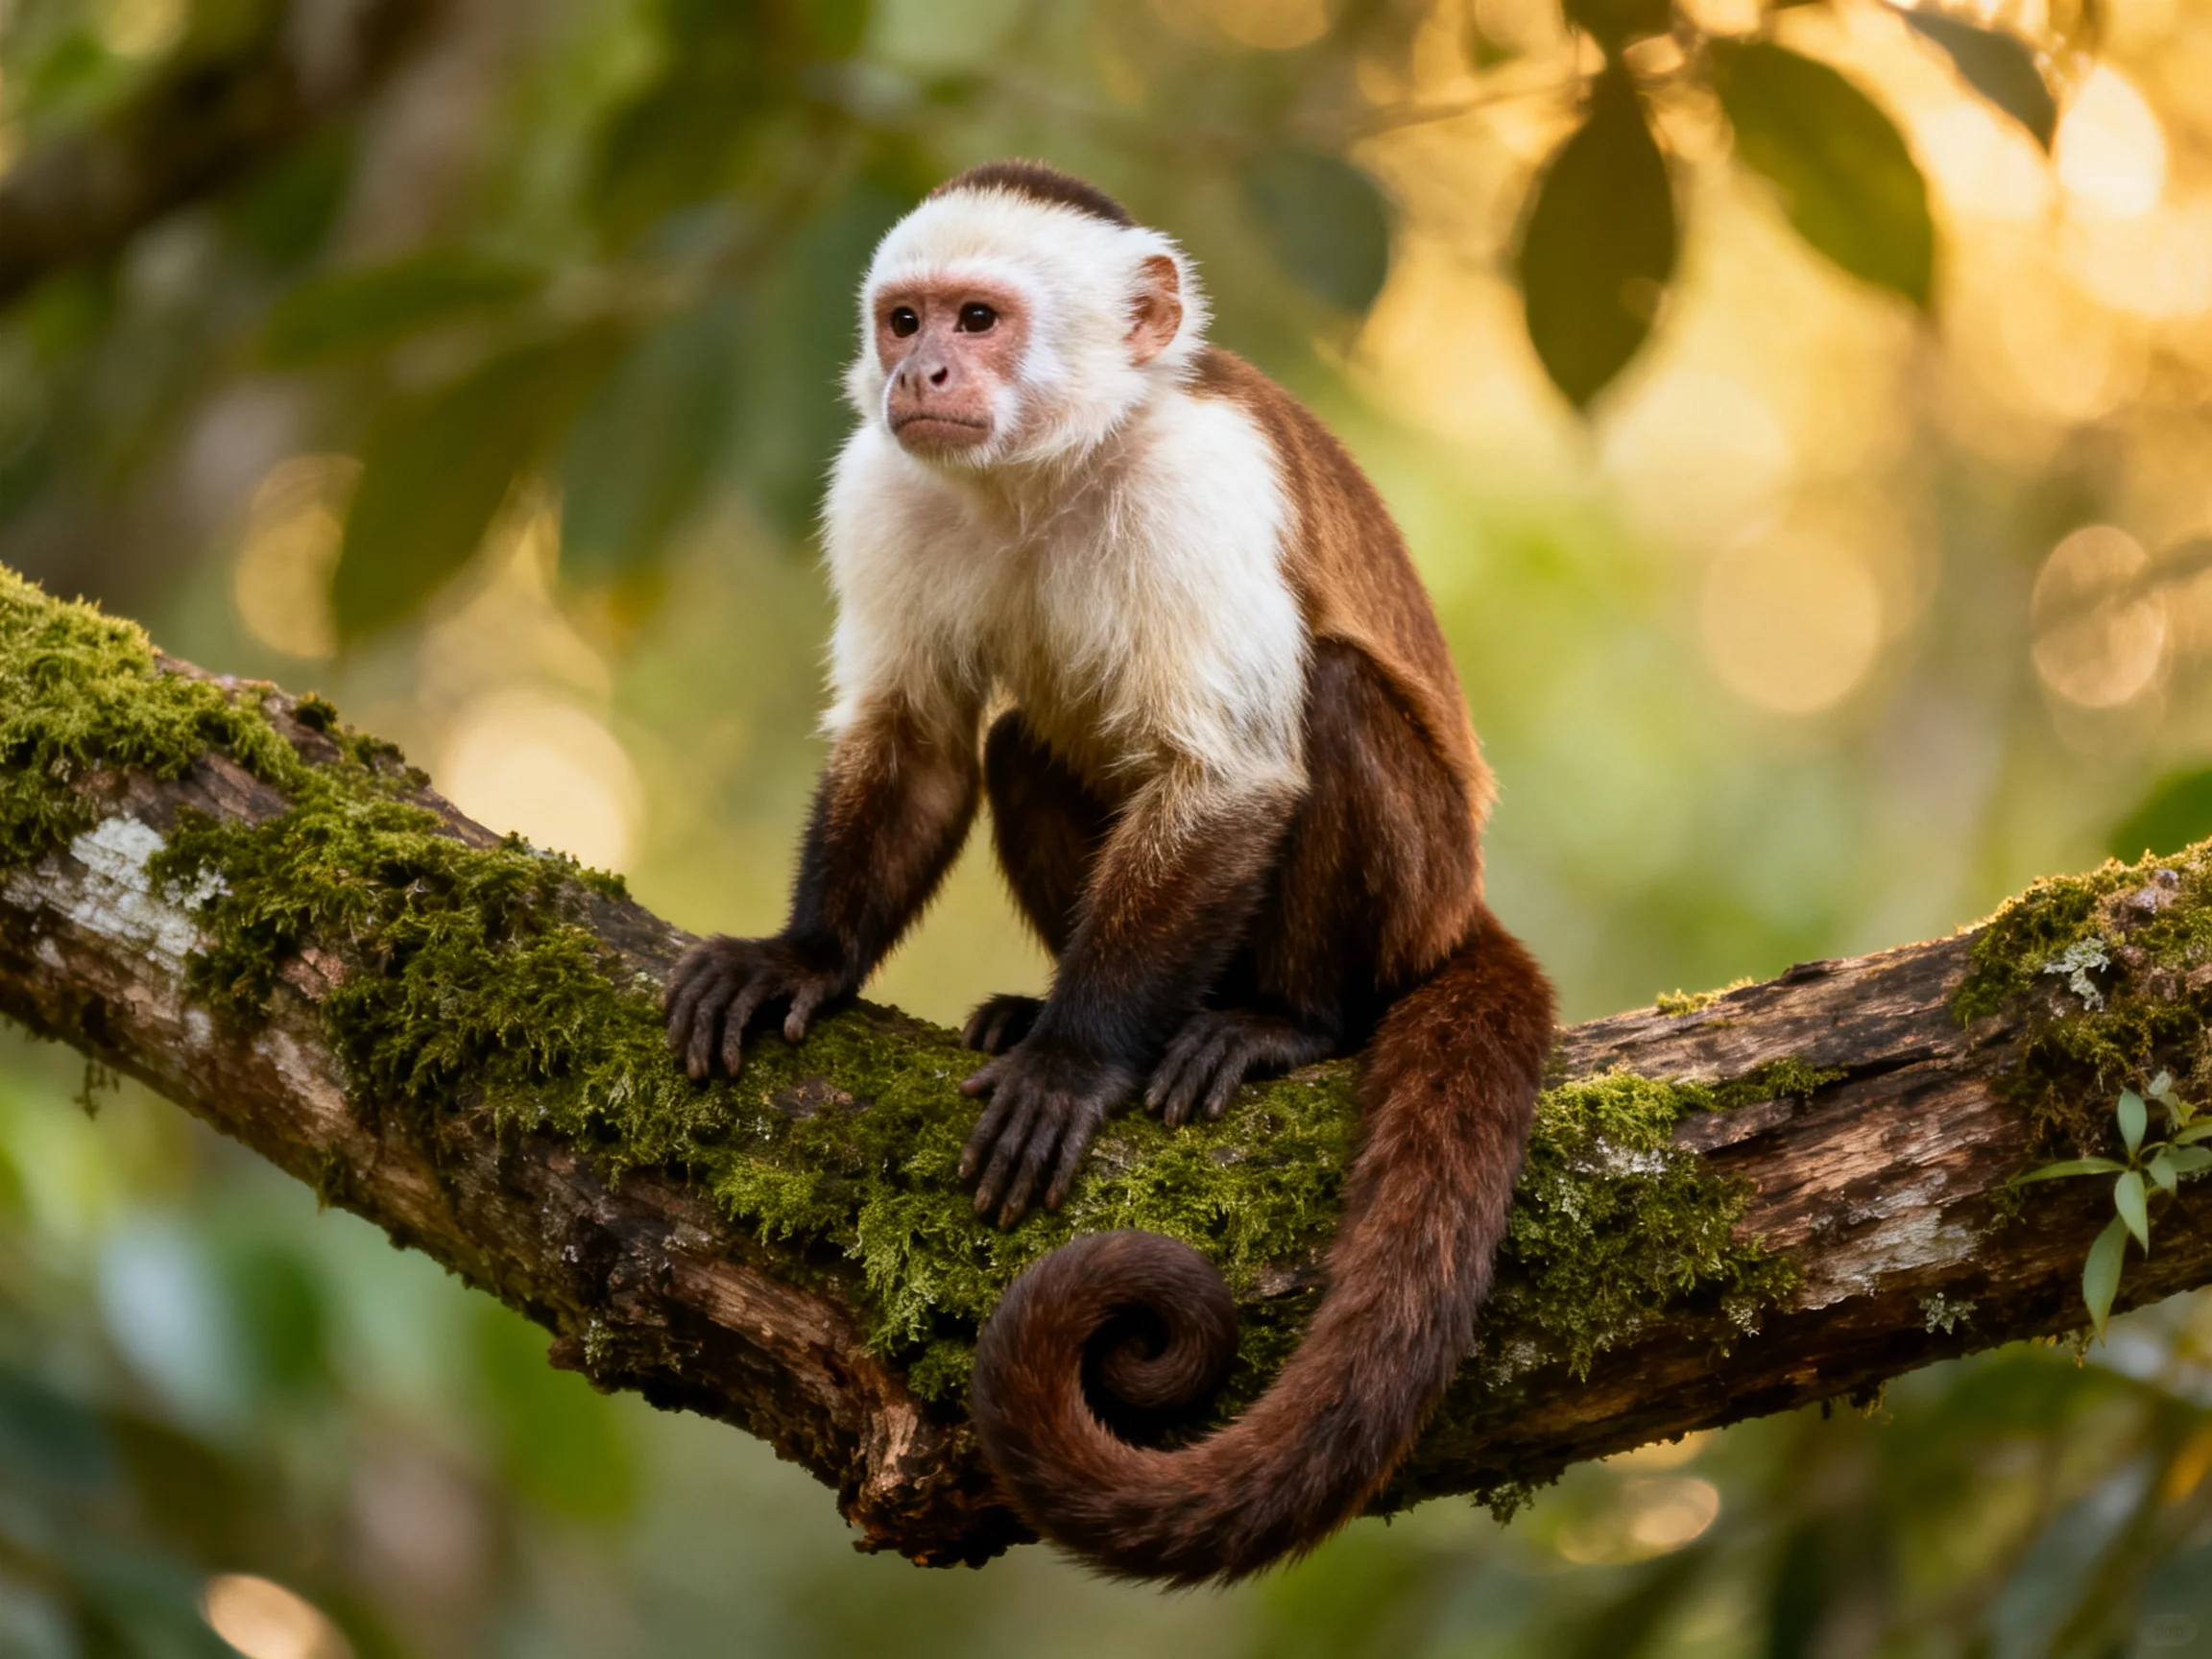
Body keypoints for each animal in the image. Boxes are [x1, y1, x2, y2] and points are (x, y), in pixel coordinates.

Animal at [664, 159, 1556, 1584]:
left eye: (979, 319)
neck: (1049, 466)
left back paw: (1279, 1021)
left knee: (1330, 695)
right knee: (1021, 748)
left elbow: (1226, 780)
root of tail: (1462, 911)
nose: (920, 373)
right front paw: (802, 957)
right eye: (905, 321)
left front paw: (1076, 1061)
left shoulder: (1201, 483)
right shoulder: (880, 485)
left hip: (1420, 889)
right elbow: (919, 747)